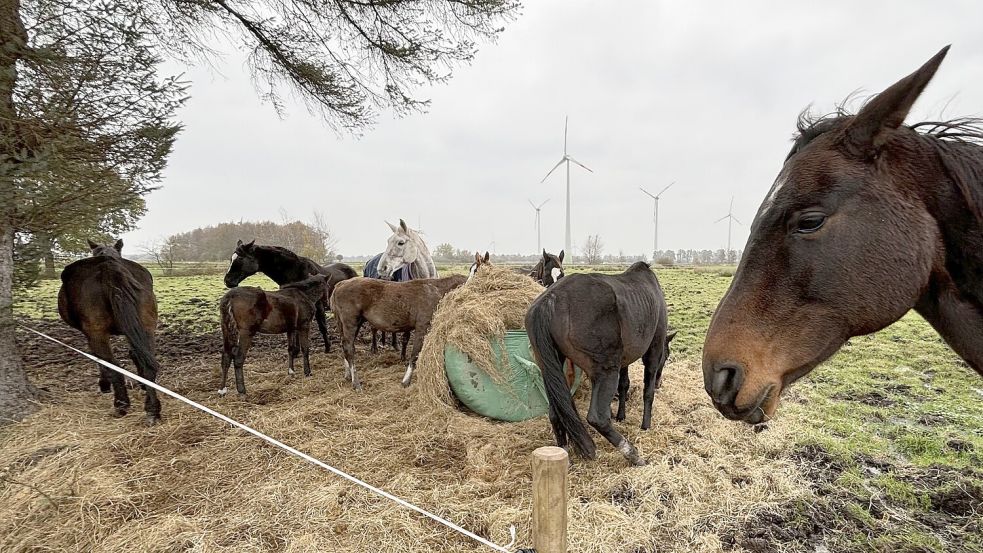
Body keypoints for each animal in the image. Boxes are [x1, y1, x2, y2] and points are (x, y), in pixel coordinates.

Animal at [58, 237, 161, 422]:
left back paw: (121, 404)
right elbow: (135, 355)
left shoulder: (92, 334)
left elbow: (99, 360)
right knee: (148, 363)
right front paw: (142, 384)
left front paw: (104, 384)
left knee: (113, 365)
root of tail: (109, 265)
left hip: (97, 333)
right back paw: (152, 409)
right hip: (147, 328)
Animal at [224, 239, 358, 352]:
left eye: (241, 258)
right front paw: (296, 350)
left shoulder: (318, 305)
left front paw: (327, 348)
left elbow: (322, 326)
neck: (295, 271)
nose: (227, 281)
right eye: (231, 259)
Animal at [332, 274, 468, 388]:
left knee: (344, 346)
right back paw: (356, 382)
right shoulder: (422, 327)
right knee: (349, 349)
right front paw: (406, 381)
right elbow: (415, 354)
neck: (437, 291)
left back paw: (348, 375)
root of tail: (340, 284)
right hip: (351, 322)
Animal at [528, 260, 672, 464]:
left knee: (555, 413)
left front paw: (621, 415)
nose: (660, 383)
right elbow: (648, 391)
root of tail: (551, 299)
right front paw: (646, 425)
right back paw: (632, 453)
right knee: (598, 418)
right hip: (606, 371)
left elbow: (624, 385)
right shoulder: (654, 350)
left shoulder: (624, 361)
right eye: (666, 356)